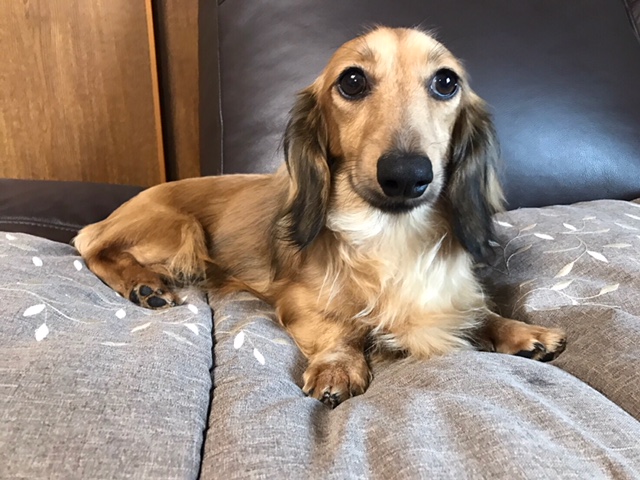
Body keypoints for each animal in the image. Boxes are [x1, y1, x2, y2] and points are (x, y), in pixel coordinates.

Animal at [75, 26, 566, 408]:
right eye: (352, 81)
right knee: (95, 249)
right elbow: (338, 331)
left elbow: (480, 312)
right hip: (181, 232)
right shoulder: (301, 301)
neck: (390, 233)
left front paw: (521, 330)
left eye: (446, 81)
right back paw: (143, 284)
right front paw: (338, 366)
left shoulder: (448, 292)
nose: (407, 175)